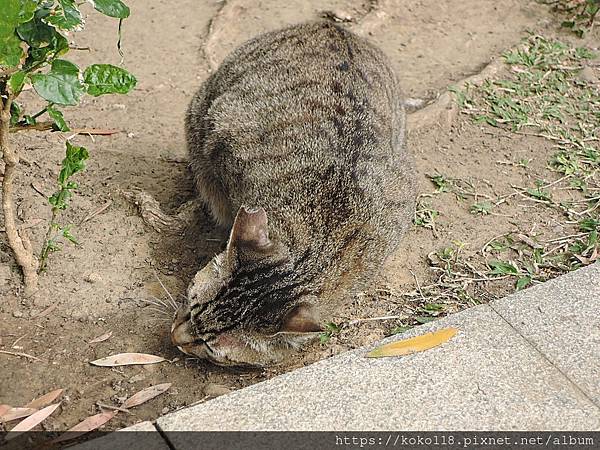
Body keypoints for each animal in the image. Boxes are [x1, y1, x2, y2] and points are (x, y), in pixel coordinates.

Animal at [169, 19, 414, 368]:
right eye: (191, 302)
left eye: (209, 348)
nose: (174, 337)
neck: (318, 251)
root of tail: (333, 26)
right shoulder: (223, 136)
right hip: (201, 111)